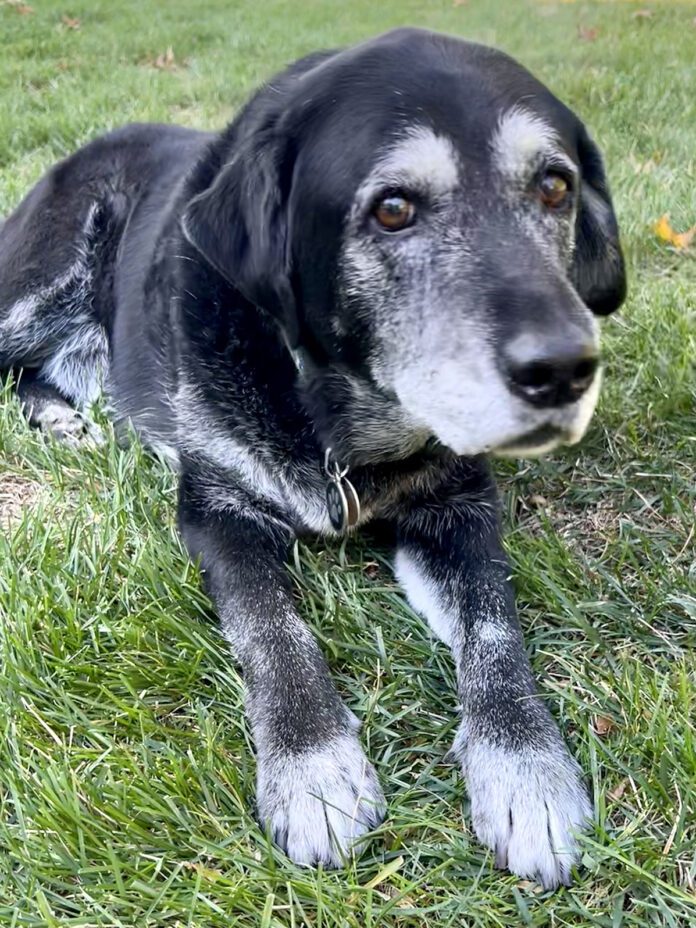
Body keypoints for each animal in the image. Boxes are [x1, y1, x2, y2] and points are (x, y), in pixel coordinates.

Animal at [1, 25, 624, 888]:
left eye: (556, 188)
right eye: (392, 208)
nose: (565, 368)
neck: (337, 424)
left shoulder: (458, 509)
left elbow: (496, 625)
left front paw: (524, 767)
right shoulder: (218, 514)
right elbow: (274, 632)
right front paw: (314, 769)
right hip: (37, 281)